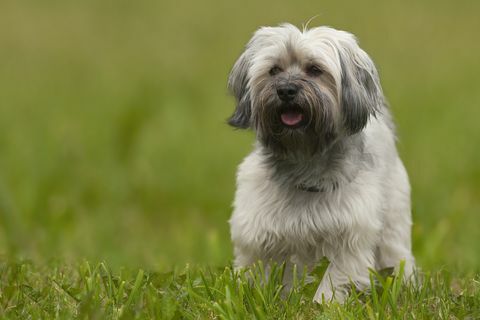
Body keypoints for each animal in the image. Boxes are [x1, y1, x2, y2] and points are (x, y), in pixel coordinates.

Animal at [227, 23, 414, 302]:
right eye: (274, 70)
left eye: (315, 70)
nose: (286, 90)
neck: (304, 158)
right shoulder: (258, 233)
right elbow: (260, 273)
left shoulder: (347, 236)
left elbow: (333, 280)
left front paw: (323, 304)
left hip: (394, 219)